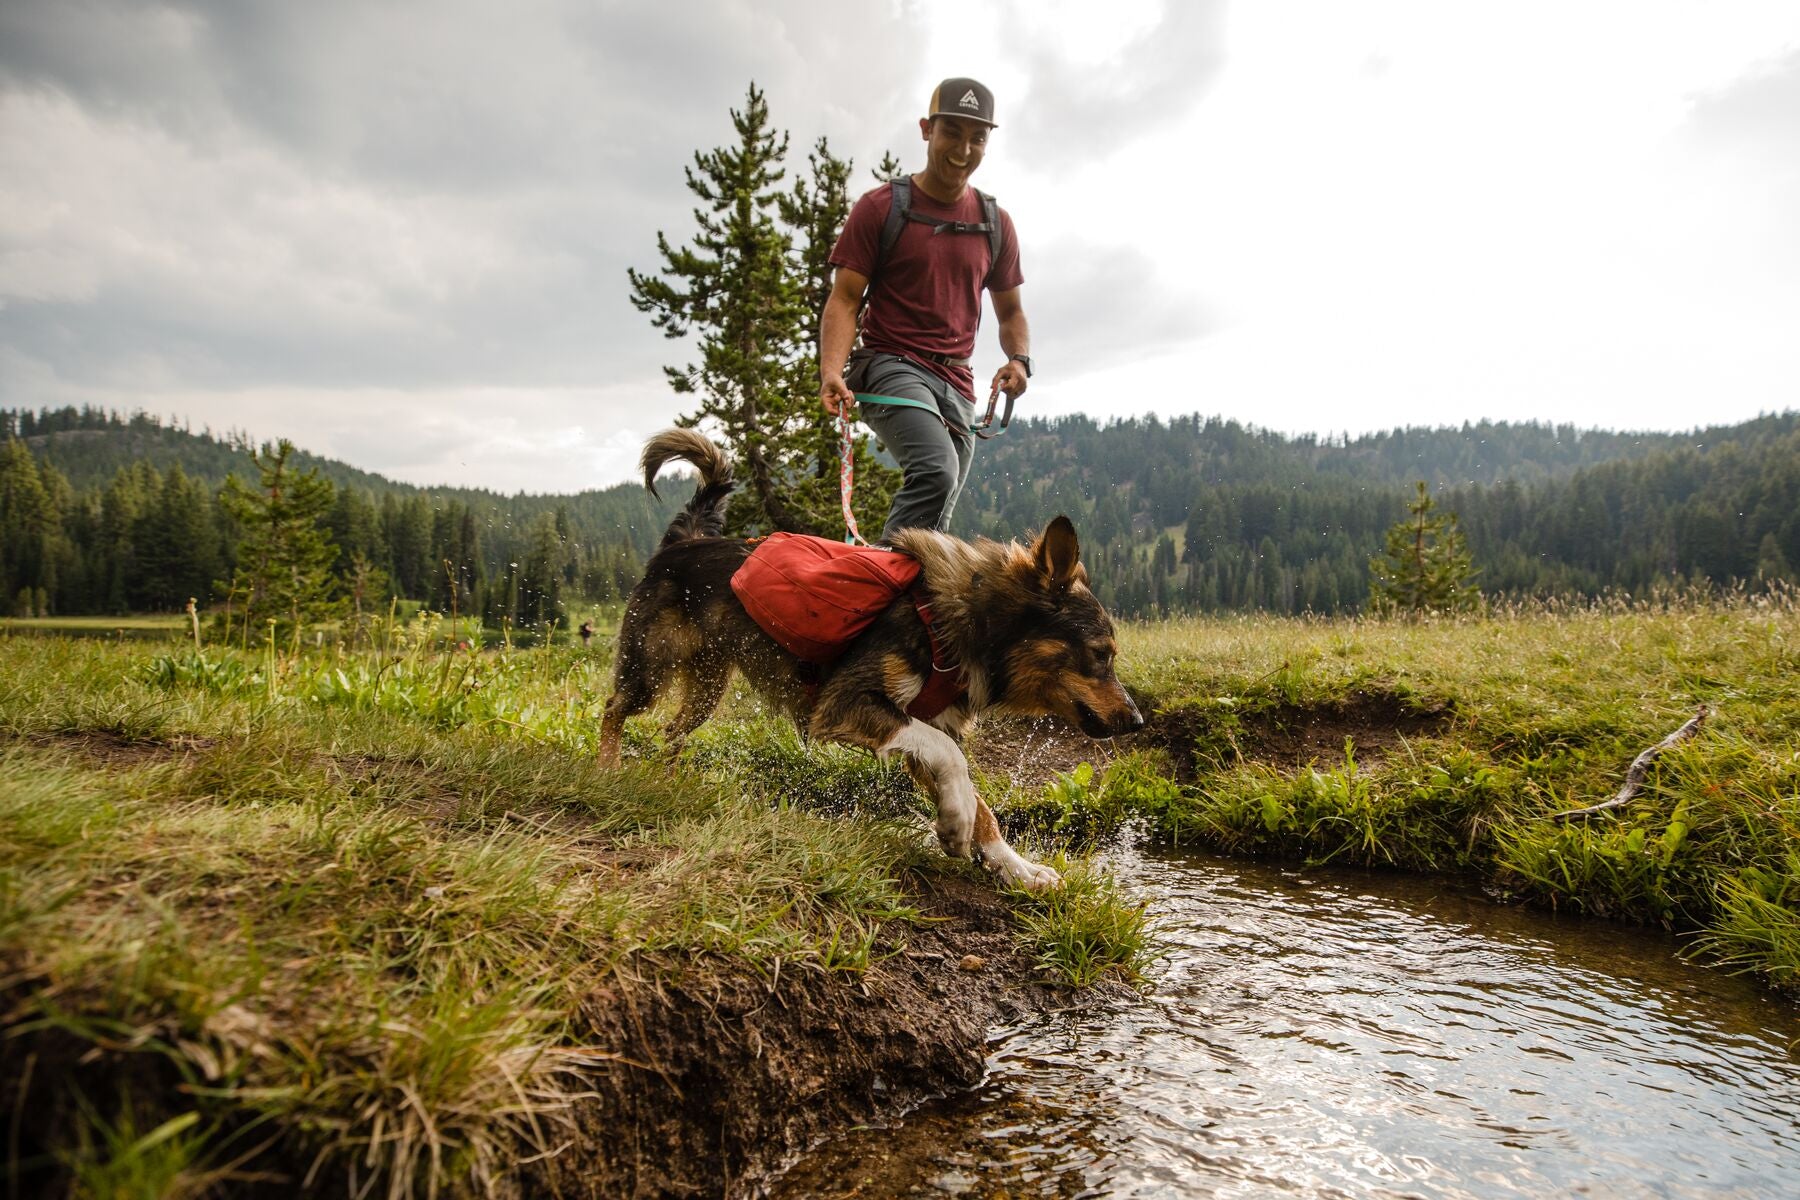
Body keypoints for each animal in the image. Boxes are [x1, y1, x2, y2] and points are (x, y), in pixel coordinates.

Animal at [597, 431, 1144, 892]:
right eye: (1101, 654)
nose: (1136, 720)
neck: (959, 621)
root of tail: (683, 542)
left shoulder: (920, 726)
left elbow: (974, 794)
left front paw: (1014, 865)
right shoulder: (846, 704)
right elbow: (954, 758)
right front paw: (958, 824)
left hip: (708, 688)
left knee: (671, 733)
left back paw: (668, 783)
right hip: (649, 670)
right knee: (612, 710)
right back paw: (607, 772)